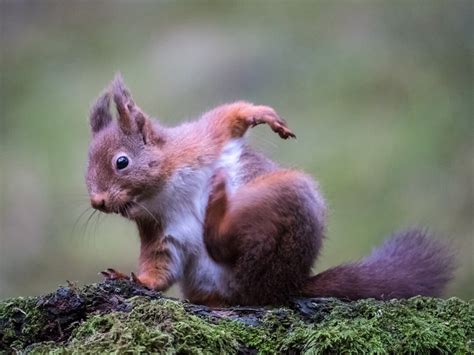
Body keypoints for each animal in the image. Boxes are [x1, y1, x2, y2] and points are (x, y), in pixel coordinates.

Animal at [85, 74, 456, 306]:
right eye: (86, 166)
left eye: (121, 162)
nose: (97, 200)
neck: (164, 190)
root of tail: (287, 285)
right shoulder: (161, 230)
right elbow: (160, 266)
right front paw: (134, 279)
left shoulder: (203, 140)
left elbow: (230, 116)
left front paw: (265, 115)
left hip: (285, 197)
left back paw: (218, 204)